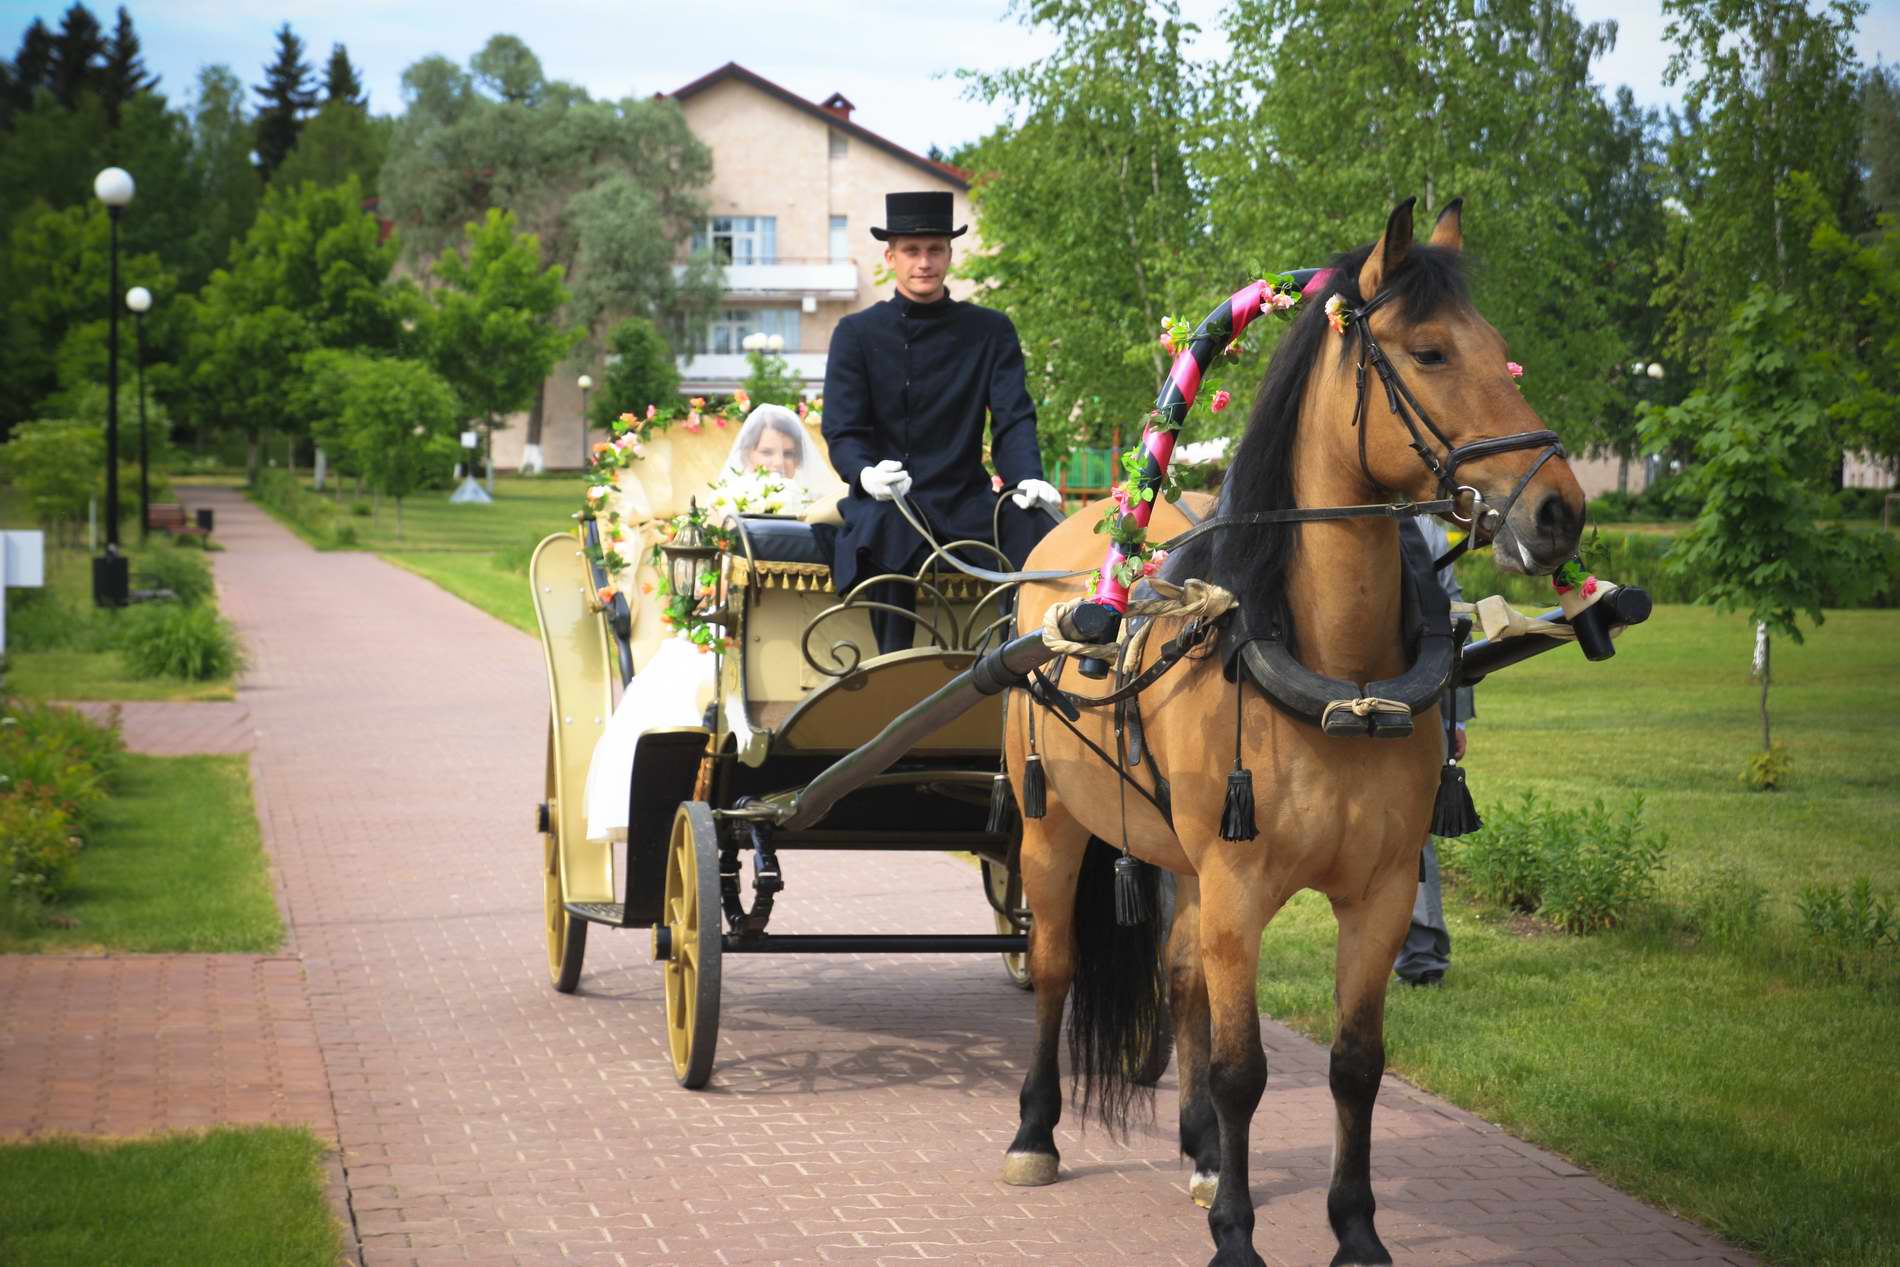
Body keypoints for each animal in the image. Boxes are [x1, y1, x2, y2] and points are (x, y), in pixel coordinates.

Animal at [1003, 200, 1580, 1267]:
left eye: (1502, 350)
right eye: (1431, 351)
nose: (1561, 508)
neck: (1338, 670)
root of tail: (1082, 529)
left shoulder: (1381, 889)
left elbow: (1354, 1063)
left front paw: (1354, 1228)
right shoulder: (1239, 883)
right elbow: (1245, 1069)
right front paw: (1237, 1232)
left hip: (1178, 852)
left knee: (1181, 978)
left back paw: (1197, 1149)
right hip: (1051, 821)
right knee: (1057, 965)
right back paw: (1035, 1130)